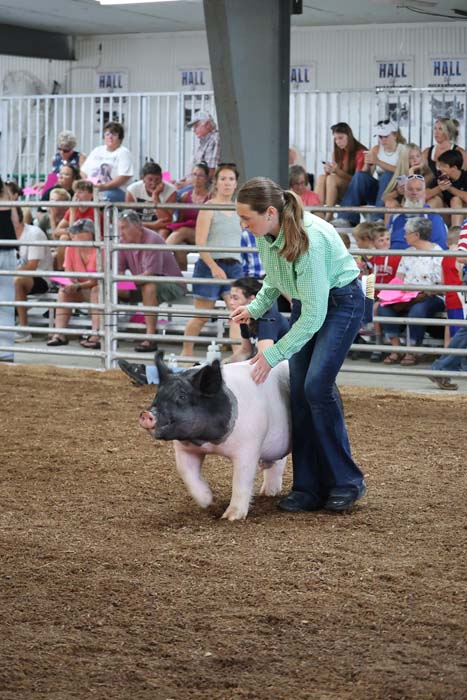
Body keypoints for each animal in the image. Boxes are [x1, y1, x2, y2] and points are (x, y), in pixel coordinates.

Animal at [139, 352, 291, 521]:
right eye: (158, 393)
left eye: (182, 396)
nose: (146, 414)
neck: (210, 441)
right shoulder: (184, 449)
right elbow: (187, 473)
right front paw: (208, 502)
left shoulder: (249, 448)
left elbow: (241, 480)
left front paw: (230, 517)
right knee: (279, 463)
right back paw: (268, 493)